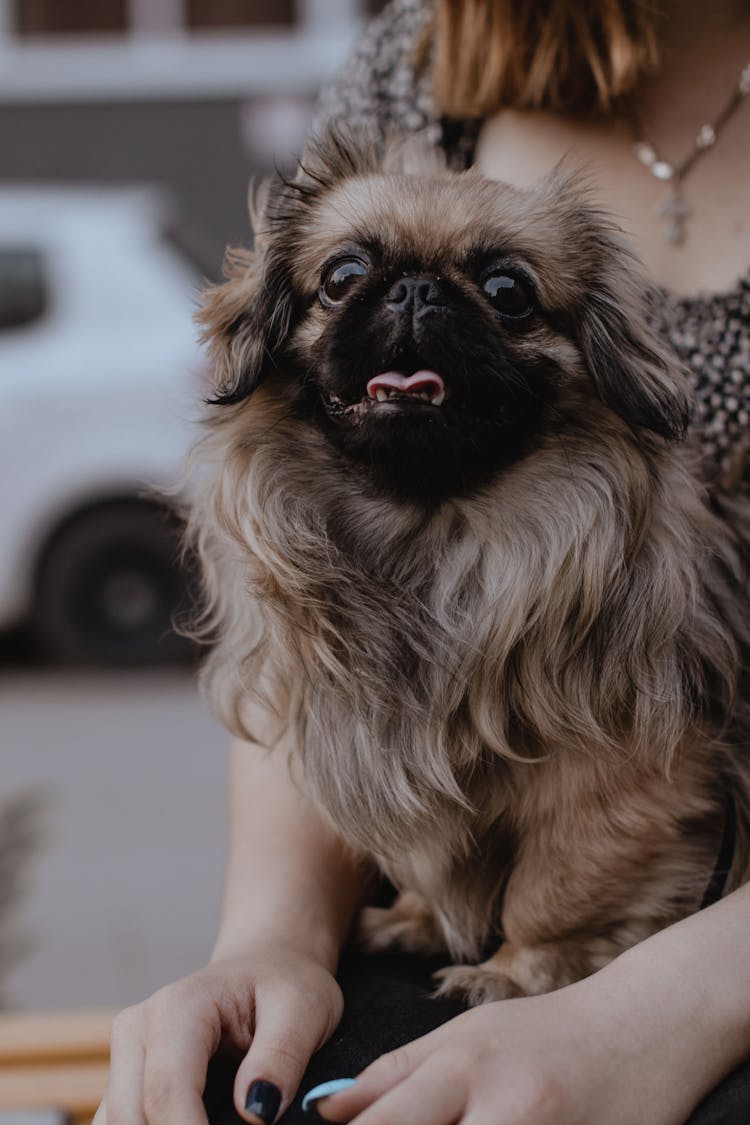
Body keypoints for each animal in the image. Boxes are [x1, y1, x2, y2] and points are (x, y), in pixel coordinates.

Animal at [186, 131, 750, 1003]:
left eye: (507, 289)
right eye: (342, 276)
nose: (415, 288)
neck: (432, 538)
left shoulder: (623, 785)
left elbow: (554, 887)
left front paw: (513, 972)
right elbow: (432, 850)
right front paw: (417, 918)